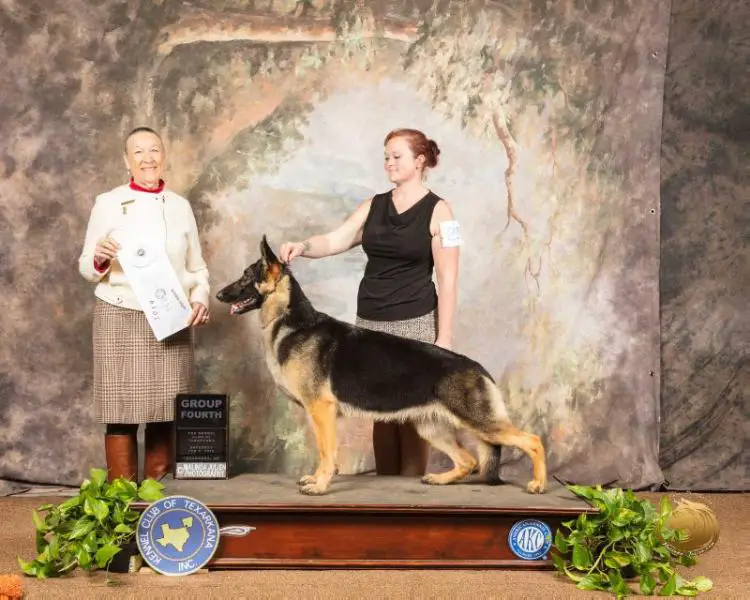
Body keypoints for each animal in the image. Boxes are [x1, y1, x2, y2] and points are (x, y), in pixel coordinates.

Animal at [214, 236, 548, 496]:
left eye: (245, 277)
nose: (218, 294)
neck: (290, 320)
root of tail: (479, 368)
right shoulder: (321, 414)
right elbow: (324, 451)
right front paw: (316, 479)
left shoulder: (321, 411)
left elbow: (326, 452)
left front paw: (320, 486)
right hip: (431, 428)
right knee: (469, 460)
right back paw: (441, 479)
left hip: (480, 423)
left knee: (532, 440)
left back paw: (538, 484)